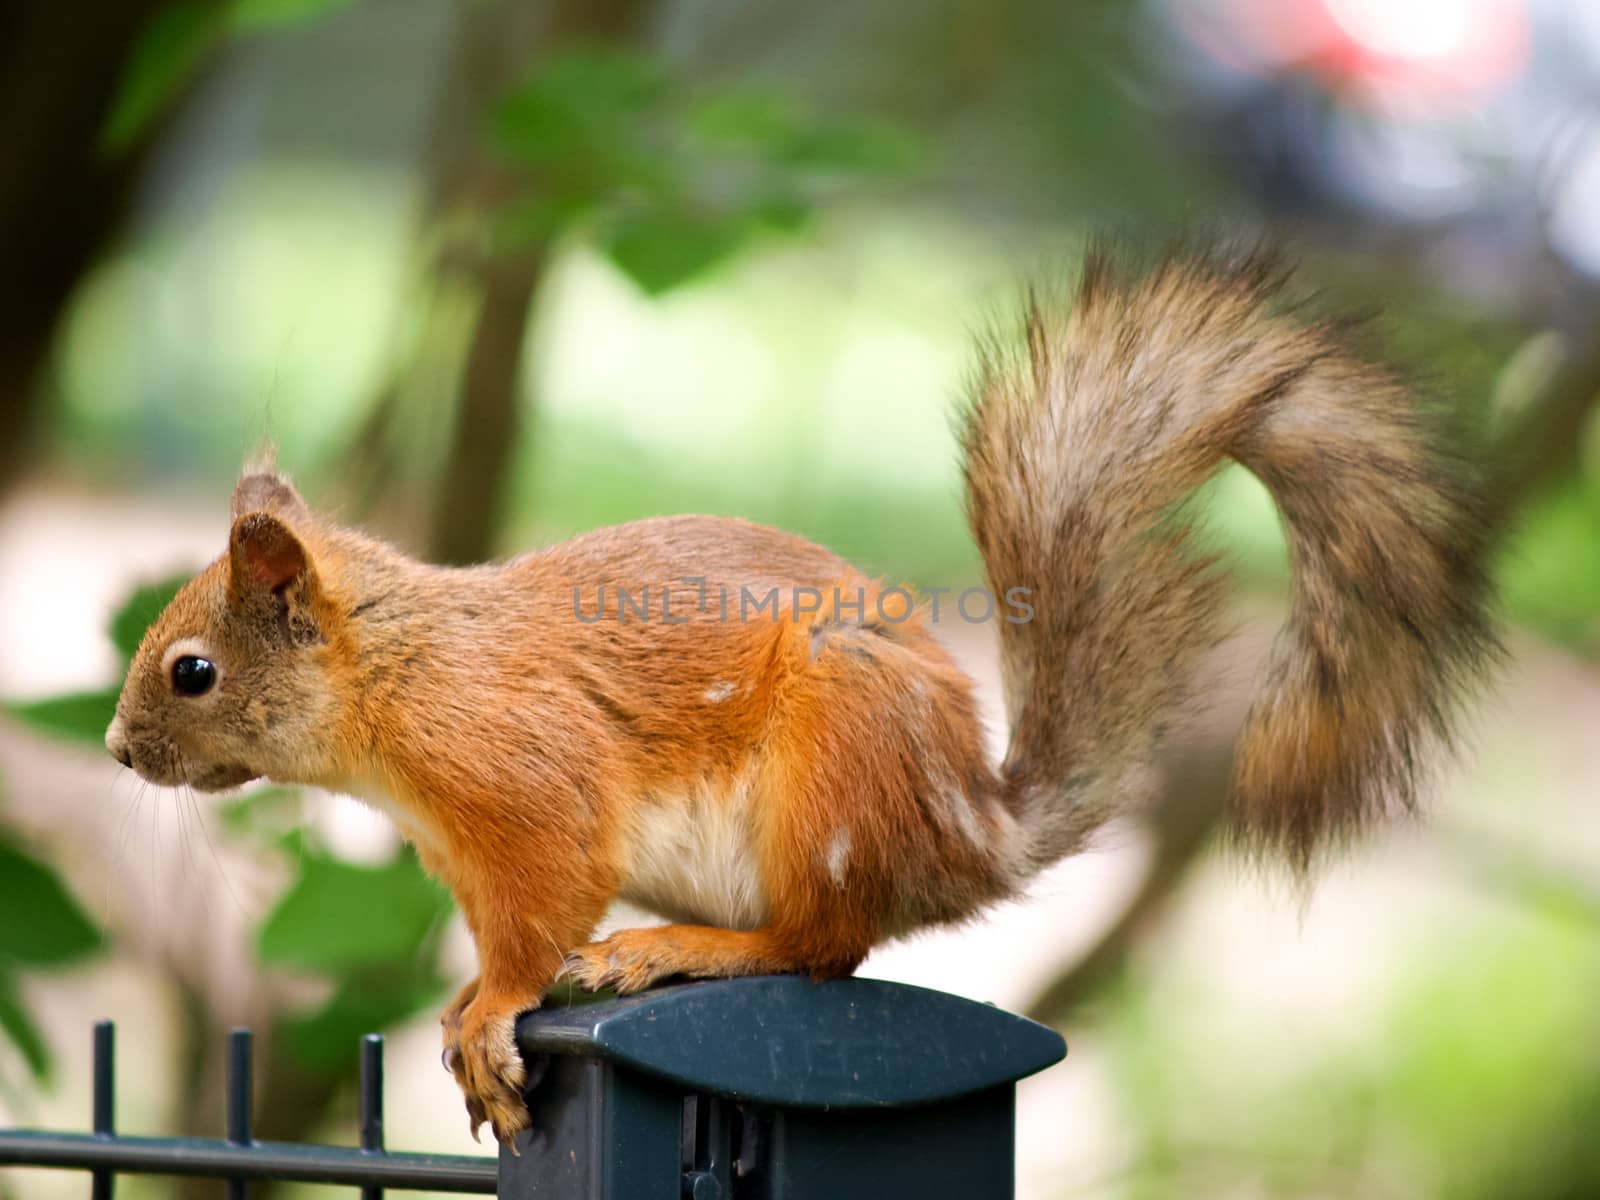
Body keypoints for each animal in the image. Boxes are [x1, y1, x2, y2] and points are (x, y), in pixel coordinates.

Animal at [103, 249, 1497, 1152]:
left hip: (832, 764)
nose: (116, 750)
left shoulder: (524, 779)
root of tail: (971, 833)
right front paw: (461, 1009)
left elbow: (539, 914)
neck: (394, 680)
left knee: (823, 945)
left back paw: (677, 951)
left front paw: (491, 1009)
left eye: (193, 671)